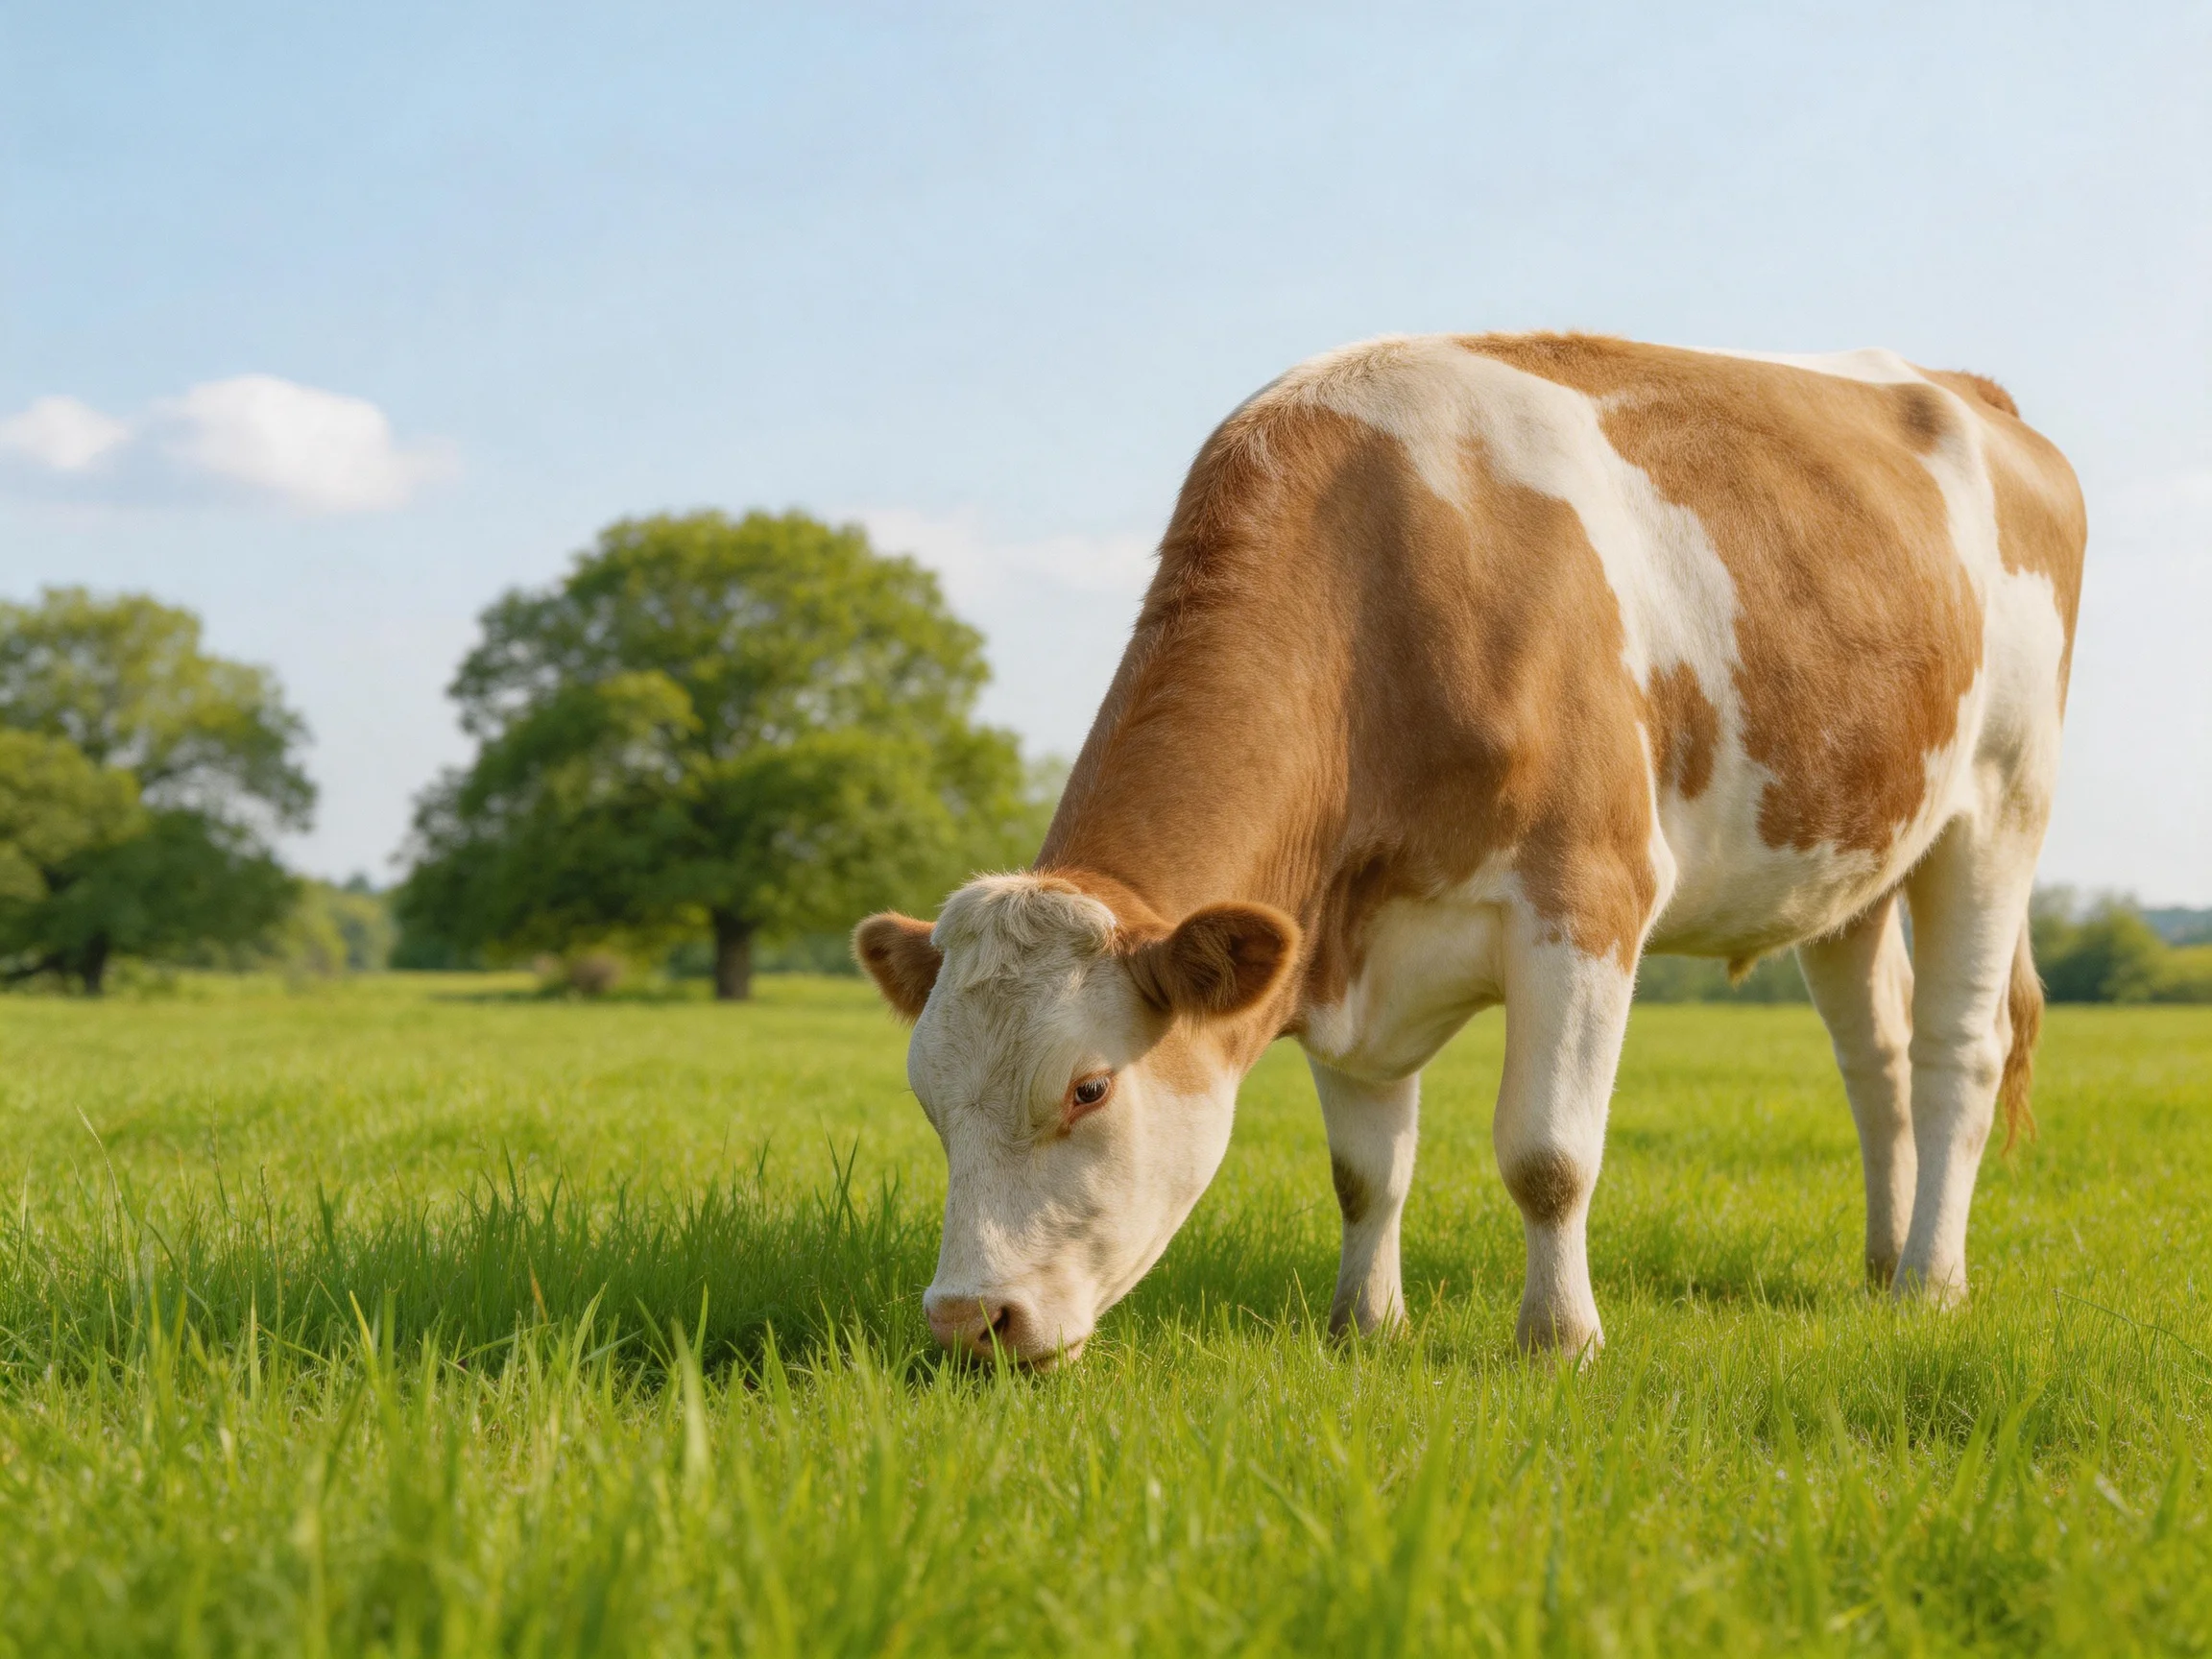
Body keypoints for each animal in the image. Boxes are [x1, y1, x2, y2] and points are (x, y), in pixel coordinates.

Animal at [855, 332, 2086, 1369]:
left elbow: (1547, 1157)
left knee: (1958, 1053)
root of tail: (1964, 388)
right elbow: (1366, 1173)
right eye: (924, 1096)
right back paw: (1883, 1260)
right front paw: (1366, 1326)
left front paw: (1560, 1341)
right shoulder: (1334, 942)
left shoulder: (1585, 898)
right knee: (1876, 1059)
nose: (967, 1320)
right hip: (1856, 853)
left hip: (2000, 805)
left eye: (1089, 1089)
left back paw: (1931, 1281)